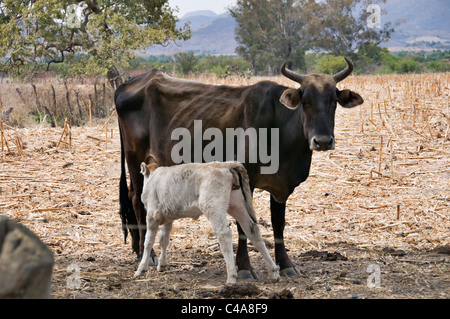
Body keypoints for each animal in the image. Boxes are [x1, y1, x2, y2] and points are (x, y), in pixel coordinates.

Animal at [134, 162, 280, 284]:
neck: (153, 179)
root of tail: (225, 164)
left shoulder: (152, 216)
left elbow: (148, 242)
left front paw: (141, 269)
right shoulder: (168, 217)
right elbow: (164, 239)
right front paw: (162, 265)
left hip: (213, 207)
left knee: (224, 234)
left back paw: (231, 277)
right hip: (237, 205)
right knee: (252, 230)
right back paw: (273, 272)